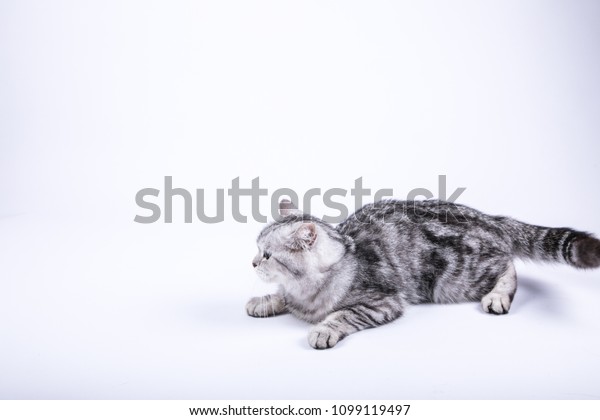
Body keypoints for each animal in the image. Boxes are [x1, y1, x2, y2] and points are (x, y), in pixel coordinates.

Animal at [245, 199, 600, 350]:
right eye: (257, 248)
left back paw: (497, 297)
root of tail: (487, 217)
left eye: (267, 255)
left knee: (509, 266)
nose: (252, 263)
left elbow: (342, 315)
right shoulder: (293, 296)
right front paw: (262, 301)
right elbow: (281, 297)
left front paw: (322, 329)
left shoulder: (382, 302)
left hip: (457, 278)